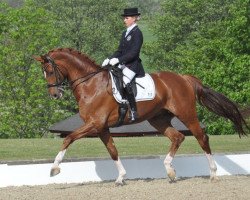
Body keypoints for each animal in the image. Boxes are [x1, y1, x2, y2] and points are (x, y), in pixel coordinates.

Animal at [34, 47, 247, 185]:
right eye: (44, 72)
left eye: (50, 70)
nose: (54, 95)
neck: (90, 84)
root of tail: (184, 78)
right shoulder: (102, 127)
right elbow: (112, 150)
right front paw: (121, 177)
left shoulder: (95, 124)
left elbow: (68, 138)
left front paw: (54, 168)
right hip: (158, 119)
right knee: (177, 137)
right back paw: (170, 171)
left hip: (186, 114)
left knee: (201, 137)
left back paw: (213, 173)